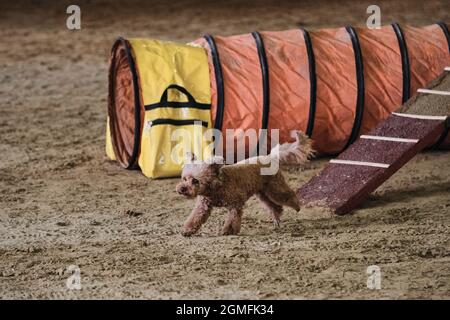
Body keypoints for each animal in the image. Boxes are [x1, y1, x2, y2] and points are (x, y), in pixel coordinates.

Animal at [174, 130, 314, 235]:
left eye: (195, 181)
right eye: (184, 179)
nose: (182, 189)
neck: (216, 185)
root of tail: (271, 157)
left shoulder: (236, 204)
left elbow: (232, 219)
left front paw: (228, 231)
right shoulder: (203, 206)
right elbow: (195, 218)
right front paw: (187, 231)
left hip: (275, 188)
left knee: (287, 196)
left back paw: (296, 206)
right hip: (263, 193)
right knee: (275, 207)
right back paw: (276, 220)